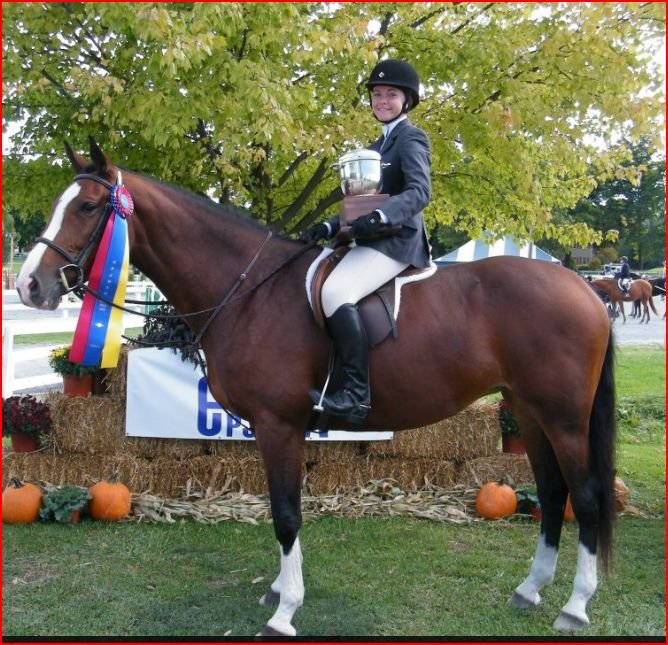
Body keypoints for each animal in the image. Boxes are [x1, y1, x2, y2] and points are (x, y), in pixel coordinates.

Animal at [16, 140, 616, 636]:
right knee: (554, 493)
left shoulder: (277, 425)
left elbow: (286, 514)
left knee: (584, 497)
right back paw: (530, 591)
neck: (249, 292)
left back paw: (576, 606)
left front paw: (285, 612)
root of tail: (583, 287)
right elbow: (281, 510)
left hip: (563, 418)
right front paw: (280, 591)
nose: (28, 286)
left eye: (87, 208)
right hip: (527, 411)